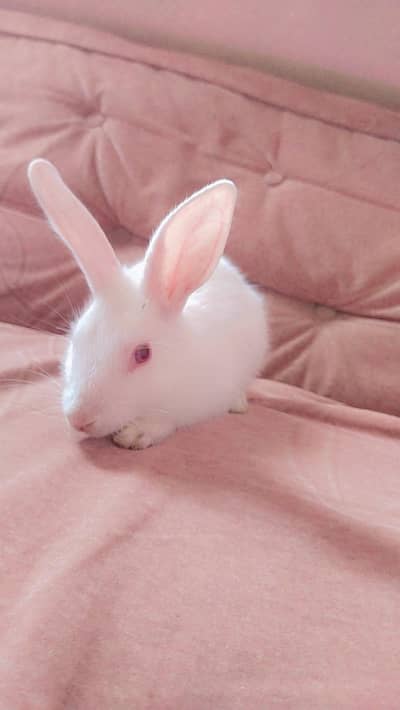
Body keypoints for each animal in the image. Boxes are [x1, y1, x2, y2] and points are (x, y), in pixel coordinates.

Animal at [28, 159, 268, 449]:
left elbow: (166, 421)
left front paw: (135, 434)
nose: (79, 418)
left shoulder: (198, 404)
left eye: (143, 354)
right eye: (76, 339)